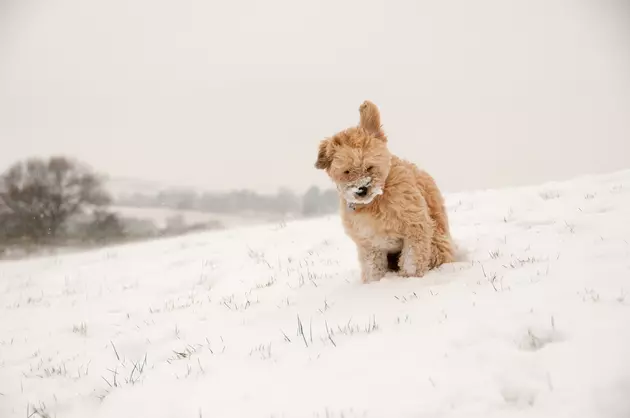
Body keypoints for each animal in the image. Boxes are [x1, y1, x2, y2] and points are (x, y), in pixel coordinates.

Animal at [314, 101, 454, 284]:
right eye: (347, 171)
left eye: (369, 167)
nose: (362, 189)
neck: (375, 201)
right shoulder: (369, 242)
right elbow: (373, 267)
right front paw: (374, 284)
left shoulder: (415, 225)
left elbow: (412, 259)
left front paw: (409, 279)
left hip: (437, 244)